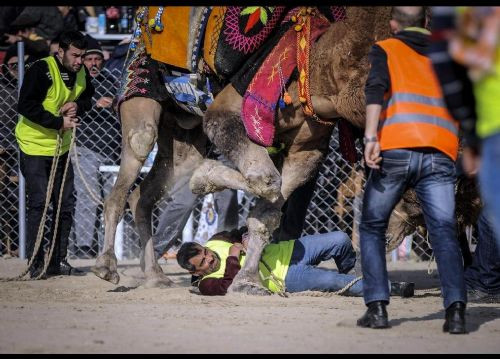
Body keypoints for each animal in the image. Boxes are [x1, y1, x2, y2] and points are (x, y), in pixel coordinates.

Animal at [91, 5, 394, 292]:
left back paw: (155, 276)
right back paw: (106, 267)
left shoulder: (307, 149)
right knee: (136, 151)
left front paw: (248, 280)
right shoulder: (227, 109)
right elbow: (266, 180)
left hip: (181, 132)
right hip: (141, 86)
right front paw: (205, 178)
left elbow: (268, 211)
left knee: (146, 192)